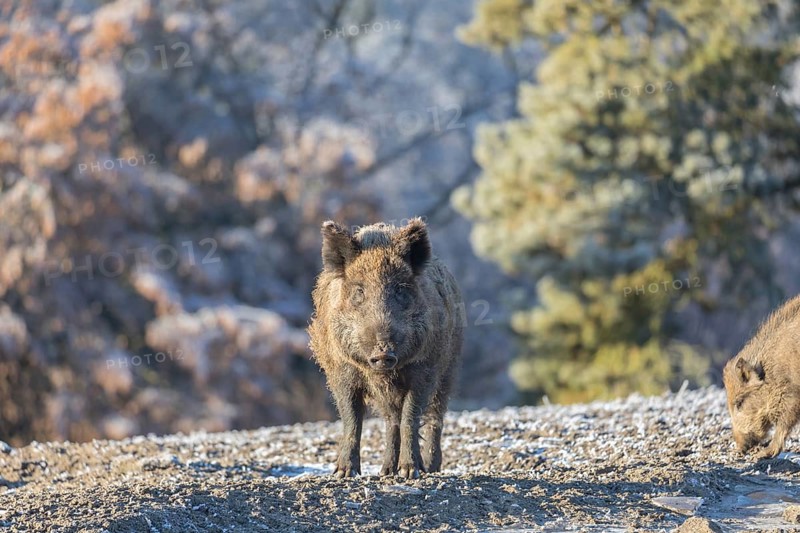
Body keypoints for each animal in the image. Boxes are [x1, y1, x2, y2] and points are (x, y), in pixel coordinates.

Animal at [308, 218, 464, 479]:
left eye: (400, 289)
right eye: (359, 291)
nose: (383, 351)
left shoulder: (425, 370)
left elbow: (411, 416)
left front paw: (410, 472)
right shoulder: (341, 372)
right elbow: (351, 420)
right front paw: (343, 473)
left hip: (449, 369)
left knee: (434, 417)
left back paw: (429, 468)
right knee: (392, 421)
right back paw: (386, 471)